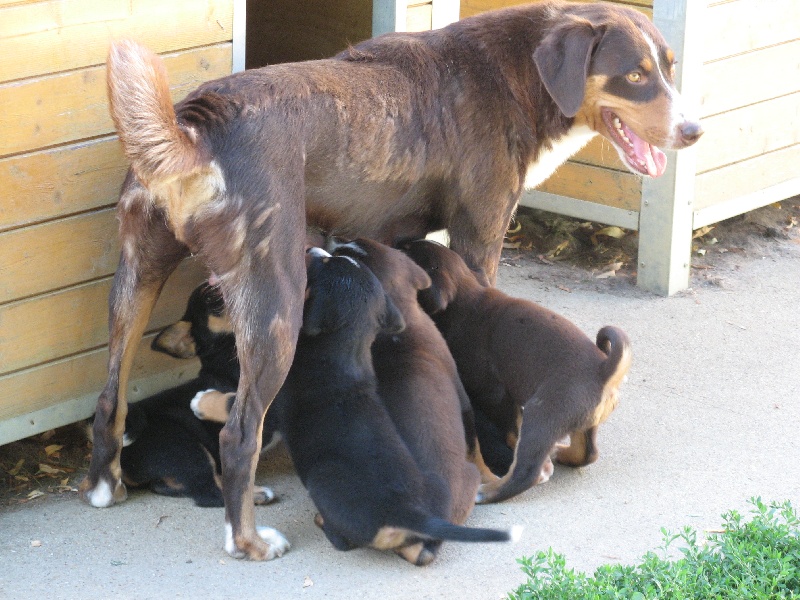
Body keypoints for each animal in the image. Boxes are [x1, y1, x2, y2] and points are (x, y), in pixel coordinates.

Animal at [406, 241, 632, 504]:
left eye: (407, 250)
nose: (399, 242)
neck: (468, 299)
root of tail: (604, 372)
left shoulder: (494, 394)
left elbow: (512, 429)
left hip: (541, 416)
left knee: (527, 472)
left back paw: (488, 492)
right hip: (581, 423)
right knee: (587, 453)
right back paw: (560, 452)